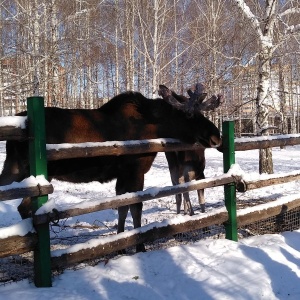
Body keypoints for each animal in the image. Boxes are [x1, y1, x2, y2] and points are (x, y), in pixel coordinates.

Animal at [0, 85, 220, 253]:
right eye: (189, 115)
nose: (216, 136)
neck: (155, 127)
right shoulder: (135, 170)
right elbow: (135, 207)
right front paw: (139, 246)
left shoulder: (122, 175)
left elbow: (122, 207)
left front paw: (120, 244)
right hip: (30, 172)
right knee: (24, 207)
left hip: (17, 170)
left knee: (21, 207)